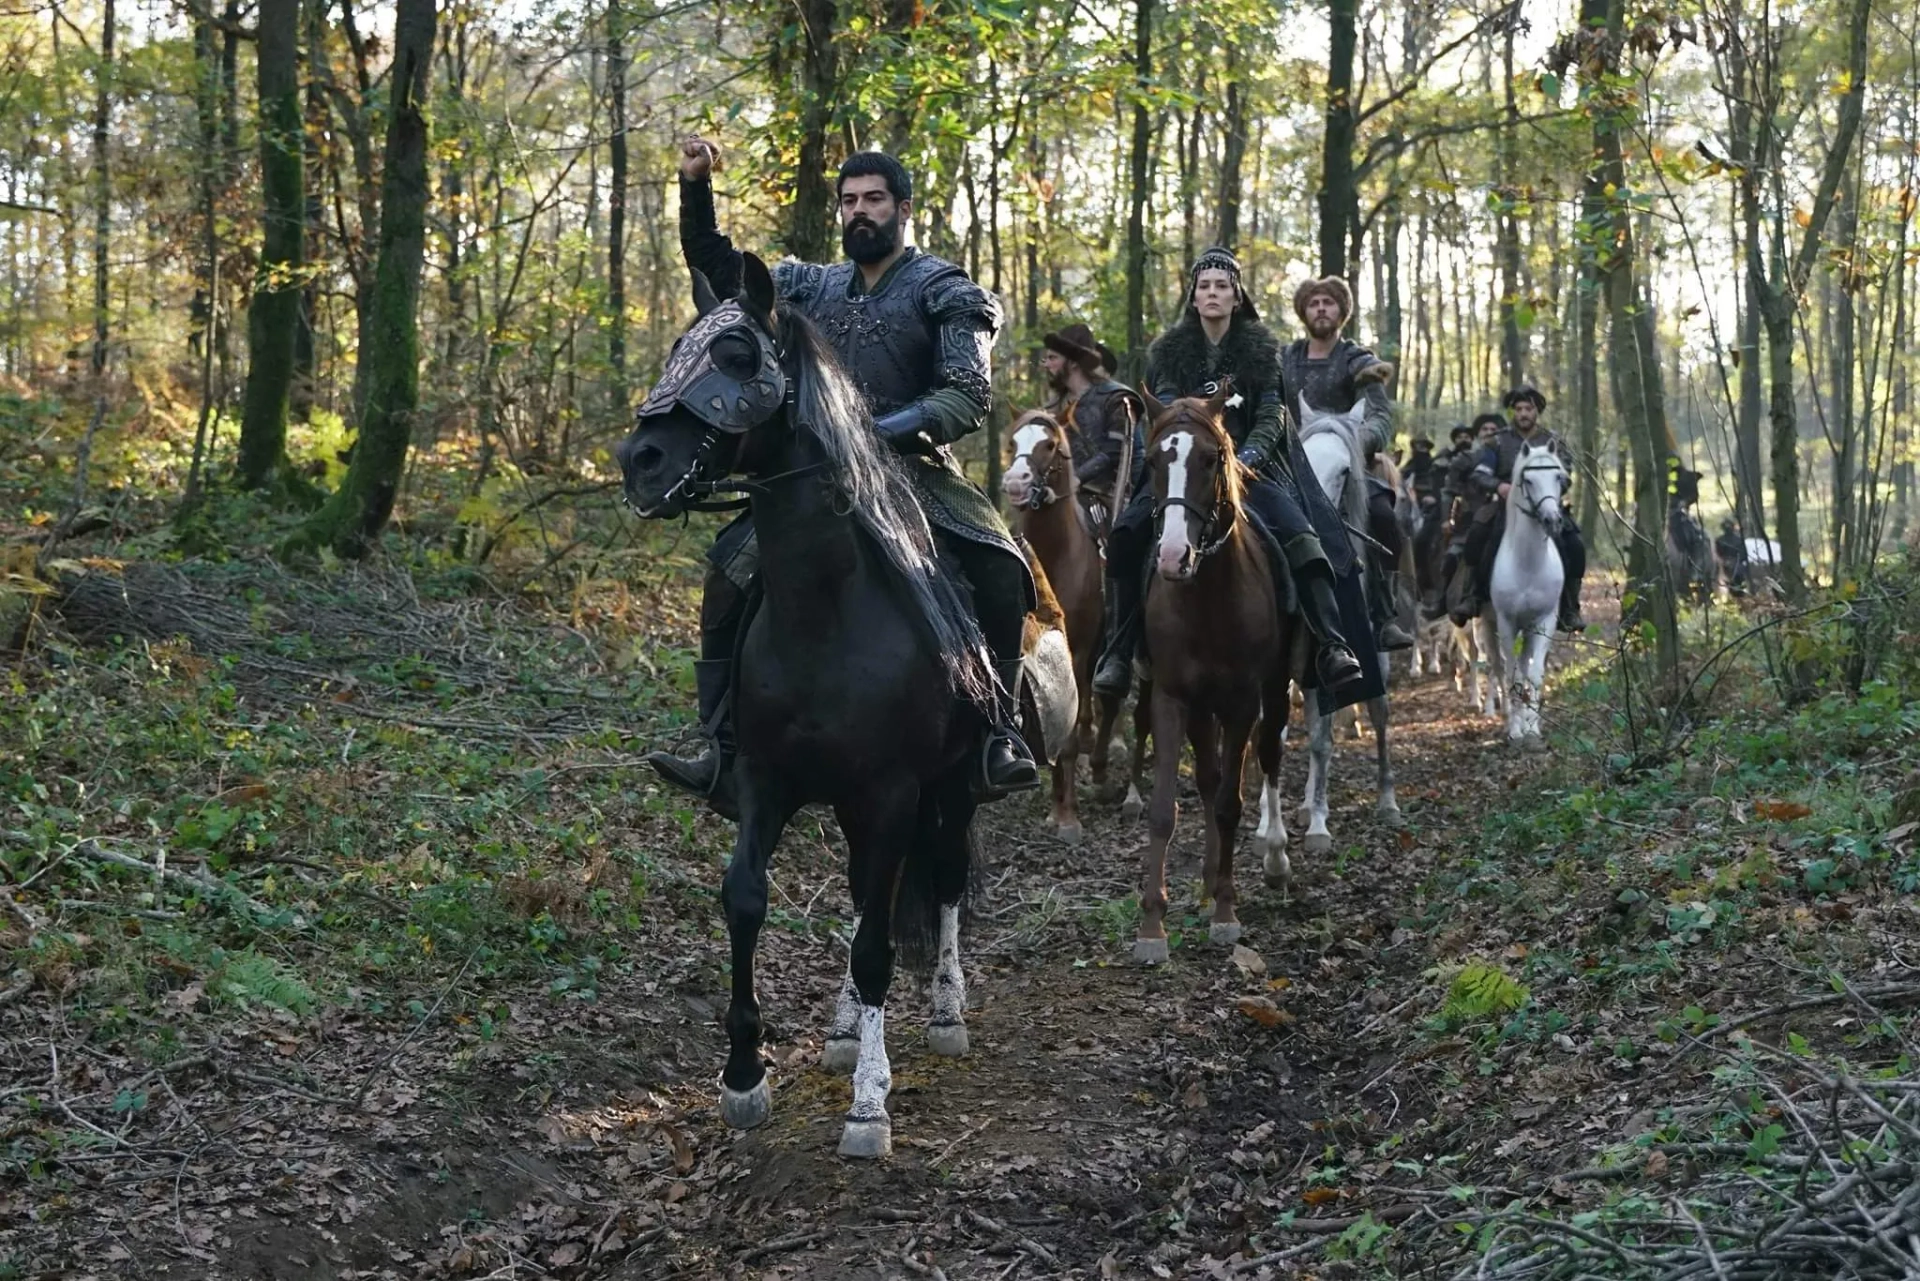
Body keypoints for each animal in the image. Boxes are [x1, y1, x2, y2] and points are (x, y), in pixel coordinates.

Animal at [622, 253, 990, 1160]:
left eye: (737, 357)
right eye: (679, 348)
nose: (639, 460)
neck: (826, 610)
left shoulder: (892, 792)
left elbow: (876, 946)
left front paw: (869, 1107)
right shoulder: (766, 777)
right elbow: (746, 898)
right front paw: (744, 1076)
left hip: (953, 783)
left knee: (943, 877)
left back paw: (944, 1009)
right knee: (869, 897)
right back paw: (844, 1029)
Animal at [998, 412, 1144, 841]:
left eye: (1050, 446)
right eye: (1013, 443)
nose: (1016, 482)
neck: (1056, 557)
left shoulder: (1077, 651)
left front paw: (1068, 816)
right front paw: (1056, 809)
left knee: (1109, 701)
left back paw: (1102, 770)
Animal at [1128, 391, 1297, 960]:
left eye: (1211, 459)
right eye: (1152, 461)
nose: (1172, 557)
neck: (1206, 599)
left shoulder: (1244, 699)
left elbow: (1229, 803)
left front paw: (1226, 913)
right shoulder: (1172, 696)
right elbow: (1166, 808)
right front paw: (1152, 926)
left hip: (1273, 691)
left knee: (1266, 757)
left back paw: (1274, 860)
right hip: (1203, 708)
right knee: (1206, 777)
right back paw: (1203, 883)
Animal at [1244, 395, 1397, 871]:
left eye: (1345, 470)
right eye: (1301, 460)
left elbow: (1321, 741)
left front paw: (1318, 826)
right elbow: (1272, 734)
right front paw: (1265, 826)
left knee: (1379, 716)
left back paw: (1385, 800)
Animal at [1489, 443, 1566, 745]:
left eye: (1559, 477)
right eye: (1529, 480)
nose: (1552, 519)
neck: (1528, 564)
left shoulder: (1544, 621)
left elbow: (1533, 675)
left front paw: (1533, 727)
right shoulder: (1506, 622)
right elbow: (1512, 674)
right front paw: (1515, 730)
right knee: (1498, 668)